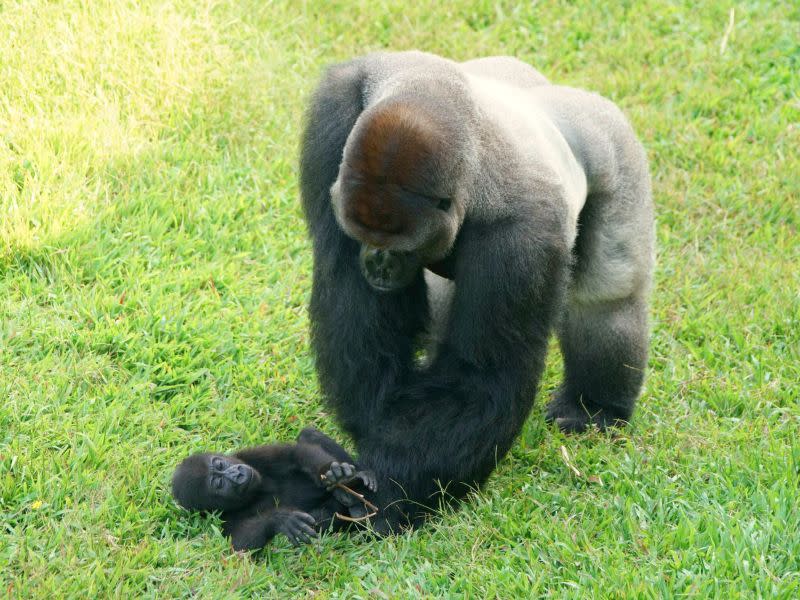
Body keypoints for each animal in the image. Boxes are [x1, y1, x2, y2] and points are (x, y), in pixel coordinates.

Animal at [170, 426, 376, 548]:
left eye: (220, 464)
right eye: (219, 484)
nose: (236, 474)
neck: (258, 491)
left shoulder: (251, 457)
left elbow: (296, 453)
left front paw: (333, 473)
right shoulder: (224, 518)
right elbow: (241, 545)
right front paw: (280, 520)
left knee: (308, 433)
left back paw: (357, 480)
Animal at [300, 50, 656, 528]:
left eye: (397, 246)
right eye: (364, 237)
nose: (376, 263)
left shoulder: (523, 232)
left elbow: (480, 374)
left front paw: (388, 493)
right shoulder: (333, 118)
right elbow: (352, 301)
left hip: (612, 139)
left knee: (608, 297)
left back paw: (593, 406)